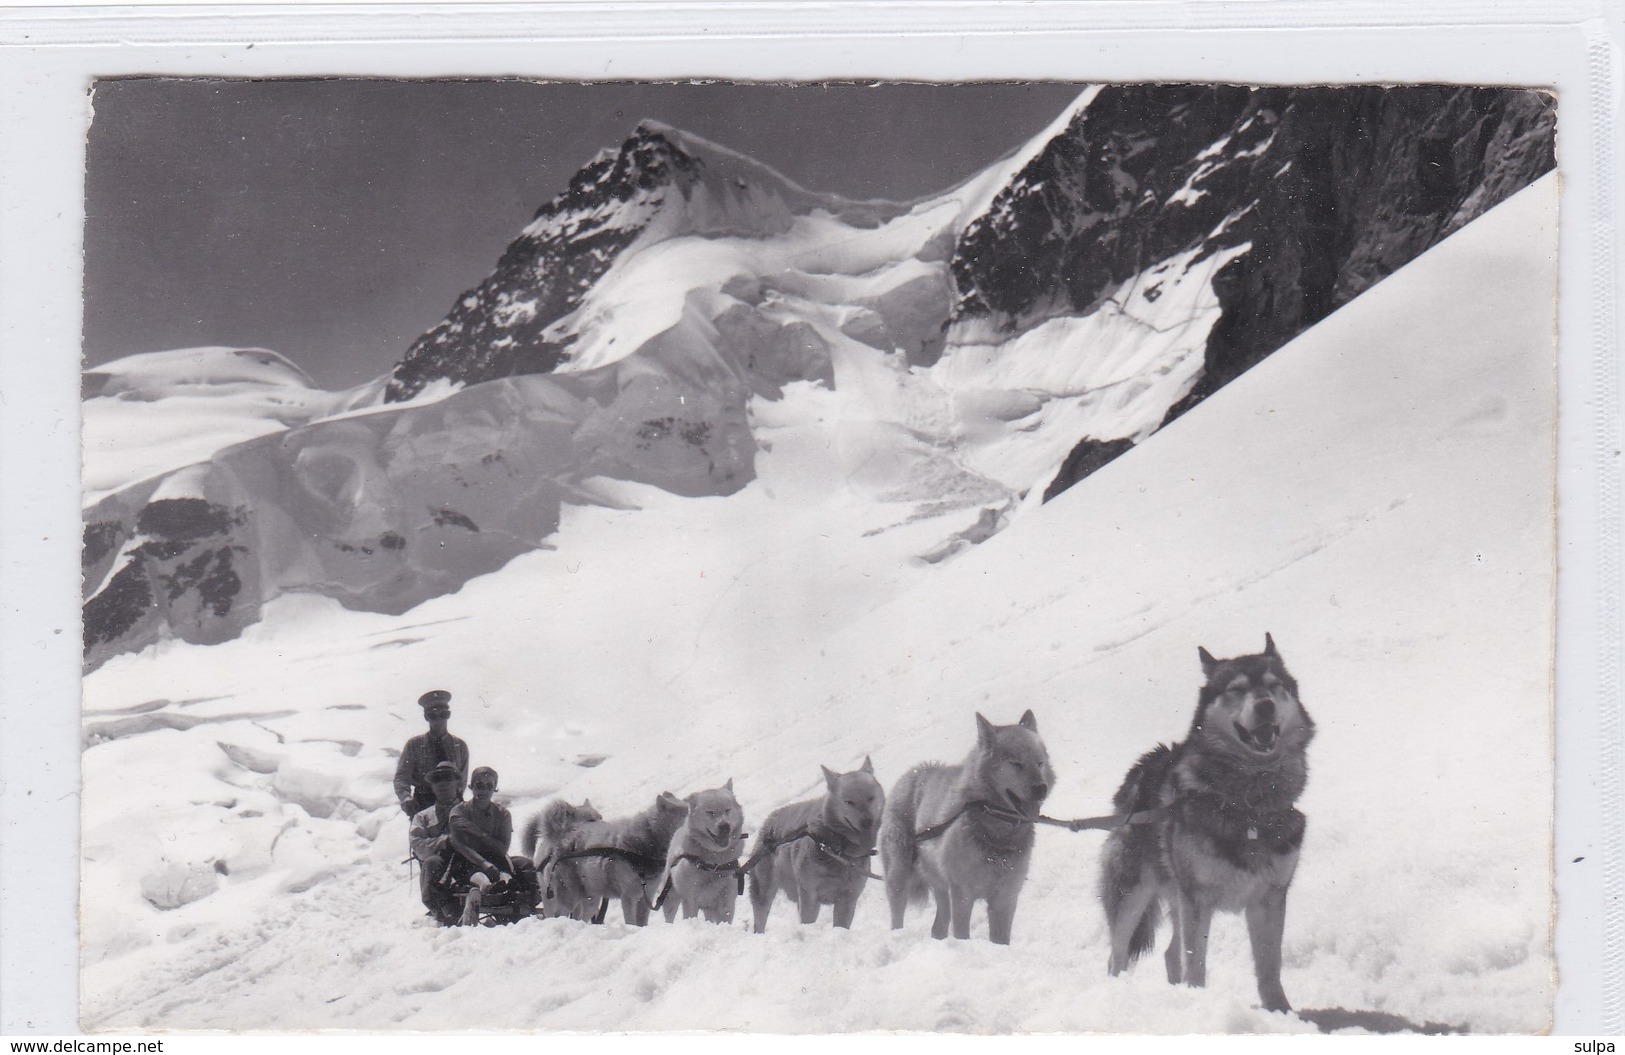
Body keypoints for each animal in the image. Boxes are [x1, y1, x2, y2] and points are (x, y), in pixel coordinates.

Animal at [659, 780, 747, 923]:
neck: (714, 865)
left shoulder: (727, 901)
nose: (725, 826)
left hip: (709, 907)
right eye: (710, 812)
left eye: (727, 810)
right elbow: (690, 915)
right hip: (670, 896)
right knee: (669, 916)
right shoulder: (690, 899)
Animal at [744, 757, 884, 929]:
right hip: (763, 890)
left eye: (871, 798)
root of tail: (770, 818)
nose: (867, 821)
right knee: (760, 919)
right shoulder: (809, 895)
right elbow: (807, 920)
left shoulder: (848, 899)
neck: (836, 848)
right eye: (849, 802)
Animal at [884, 708, 1059, 949]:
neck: (998, 837)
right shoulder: (963, 894)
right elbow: (961, 934)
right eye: (1016, 764)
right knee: (896, 917)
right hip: (899, 876)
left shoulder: (1005, 898)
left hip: (941, 888)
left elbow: (1000, 940)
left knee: (938, 927)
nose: (1041, 788)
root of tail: (916, 771)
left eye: (1039, 763)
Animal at [1098, 633, 1313, 1014]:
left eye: (1274, 685)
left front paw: (1281, 1014)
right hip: (1132, 894)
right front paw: (1197, 1000)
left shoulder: (1269, 899)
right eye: (1237, 689)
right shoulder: (1197, 899)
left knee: (1169, 954)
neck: (1247, 805)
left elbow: (1269, 968)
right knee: (1118, 955)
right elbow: (1195, 962)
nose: (1265, 705)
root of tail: (1141, 768)